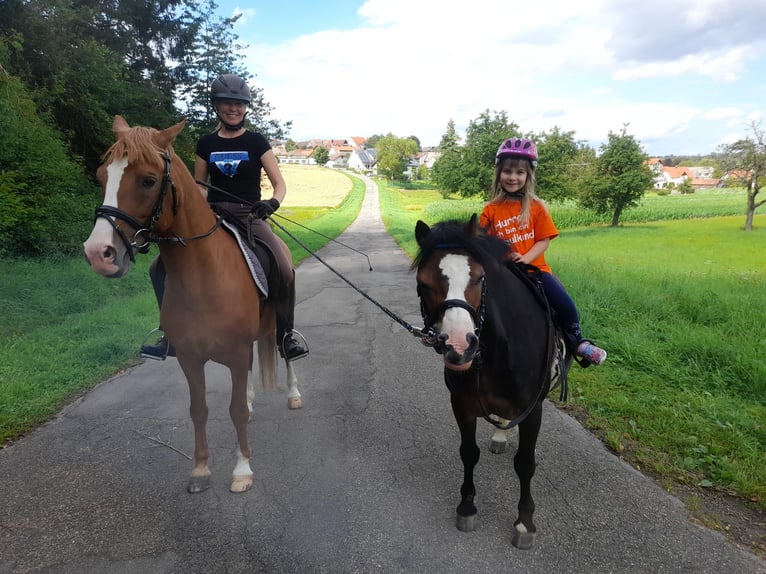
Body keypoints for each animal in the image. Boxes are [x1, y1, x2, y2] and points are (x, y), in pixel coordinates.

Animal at [82, 116, 302, 496]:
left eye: (148, 180)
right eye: (101, 176)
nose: (99, 253)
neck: (203, 274)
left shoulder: (236, 351)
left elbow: (234, 411)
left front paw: (241, 470)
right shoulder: (188, 356)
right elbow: (199, 409)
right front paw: (200, 470)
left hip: (279, 316)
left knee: (283, 348)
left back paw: (293, 394)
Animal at [414, 215, 568, 548]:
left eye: (480, 278)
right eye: (423, 284)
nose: (459, 346)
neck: (498, 349)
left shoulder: (533, 410)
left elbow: (525, 463)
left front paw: (524, 522)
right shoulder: (461, 404)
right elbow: (468, 452)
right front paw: (467, 507)